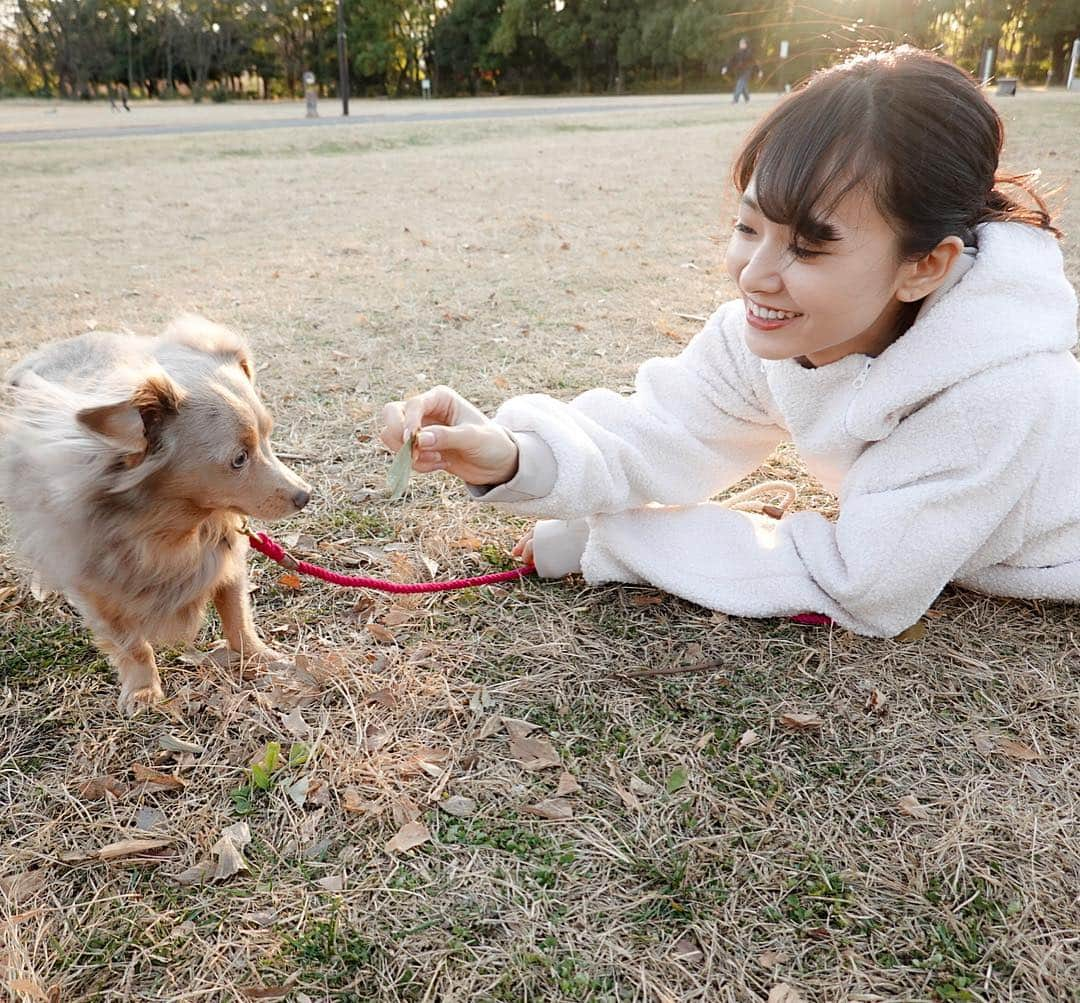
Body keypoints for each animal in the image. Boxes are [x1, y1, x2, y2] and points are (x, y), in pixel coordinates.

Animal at [1, 313, 313, 712]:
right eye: (239, 459)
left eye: (268, 438)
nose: (304, 495)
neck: (172, 525)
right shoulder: (95, 588)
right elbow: (130, 644)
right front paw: (143, 691)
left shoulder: (226, 560)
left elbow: (237, 615)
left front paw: (258, 657)